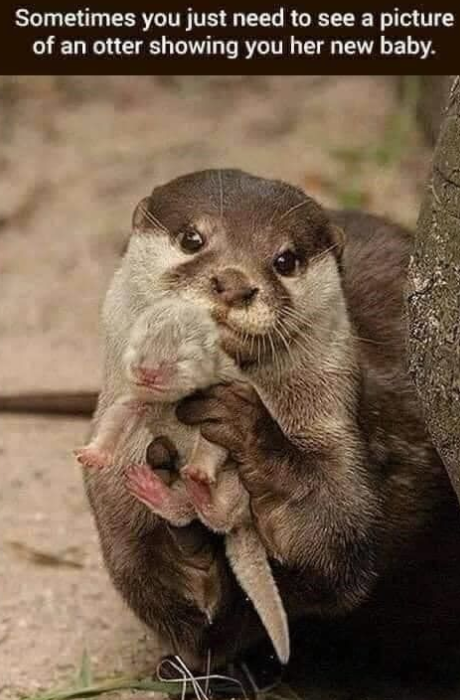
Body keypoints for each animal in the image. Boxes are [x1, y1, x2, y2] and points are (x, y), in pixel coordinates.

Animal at [2, 170, 459, 671]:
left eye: (285, 260)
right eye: (192, 239)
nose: (234, 282)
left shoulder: (344, 433)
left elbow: (338, 539)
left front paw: (246, 428)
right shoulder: (112, 492)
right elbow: (168, 603)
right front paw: (184, 538)